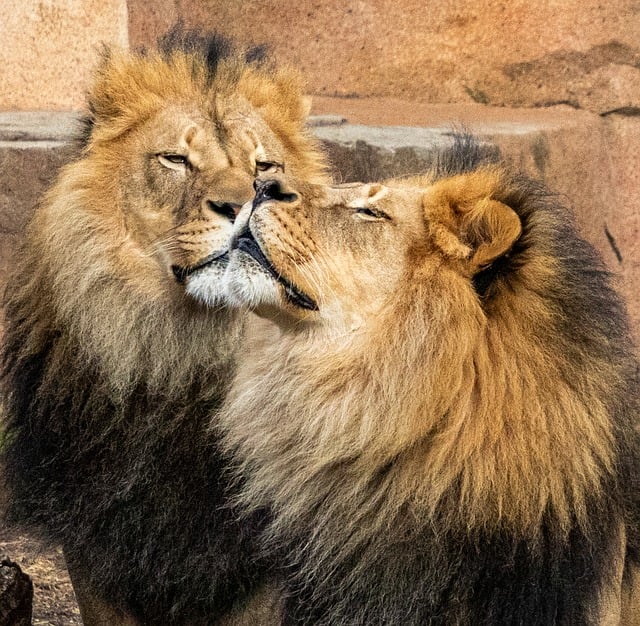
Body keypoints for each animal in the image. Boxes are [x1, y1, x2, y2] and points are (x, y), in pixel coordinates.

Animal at [0, 28, 326, 626]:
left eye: (265, 168)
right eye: (176, 159)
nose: (246, 205)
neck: (182, 355)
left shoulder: (265, 561)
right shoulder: (94, 538)